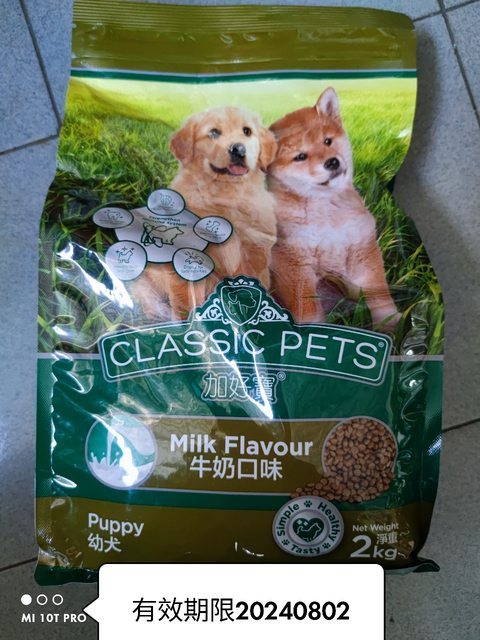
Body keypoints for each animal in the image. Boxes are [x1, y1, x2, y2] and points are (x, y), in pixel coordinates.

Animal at [131, 106, 277, 320]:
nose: (238, 149)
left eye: (247, 131)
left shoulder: (255, 250)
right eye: (214, 132)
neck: (225, 198)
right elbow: (186, 298)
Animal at [268, 87, 400, 332]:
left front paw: (391, 325)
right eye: (300, 156)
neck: (329, 217)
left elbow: (380, 297)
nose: (332, 162)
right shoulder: (293, 264)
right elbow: (307, 310)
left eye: (327, 141)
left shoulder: (363, 250)